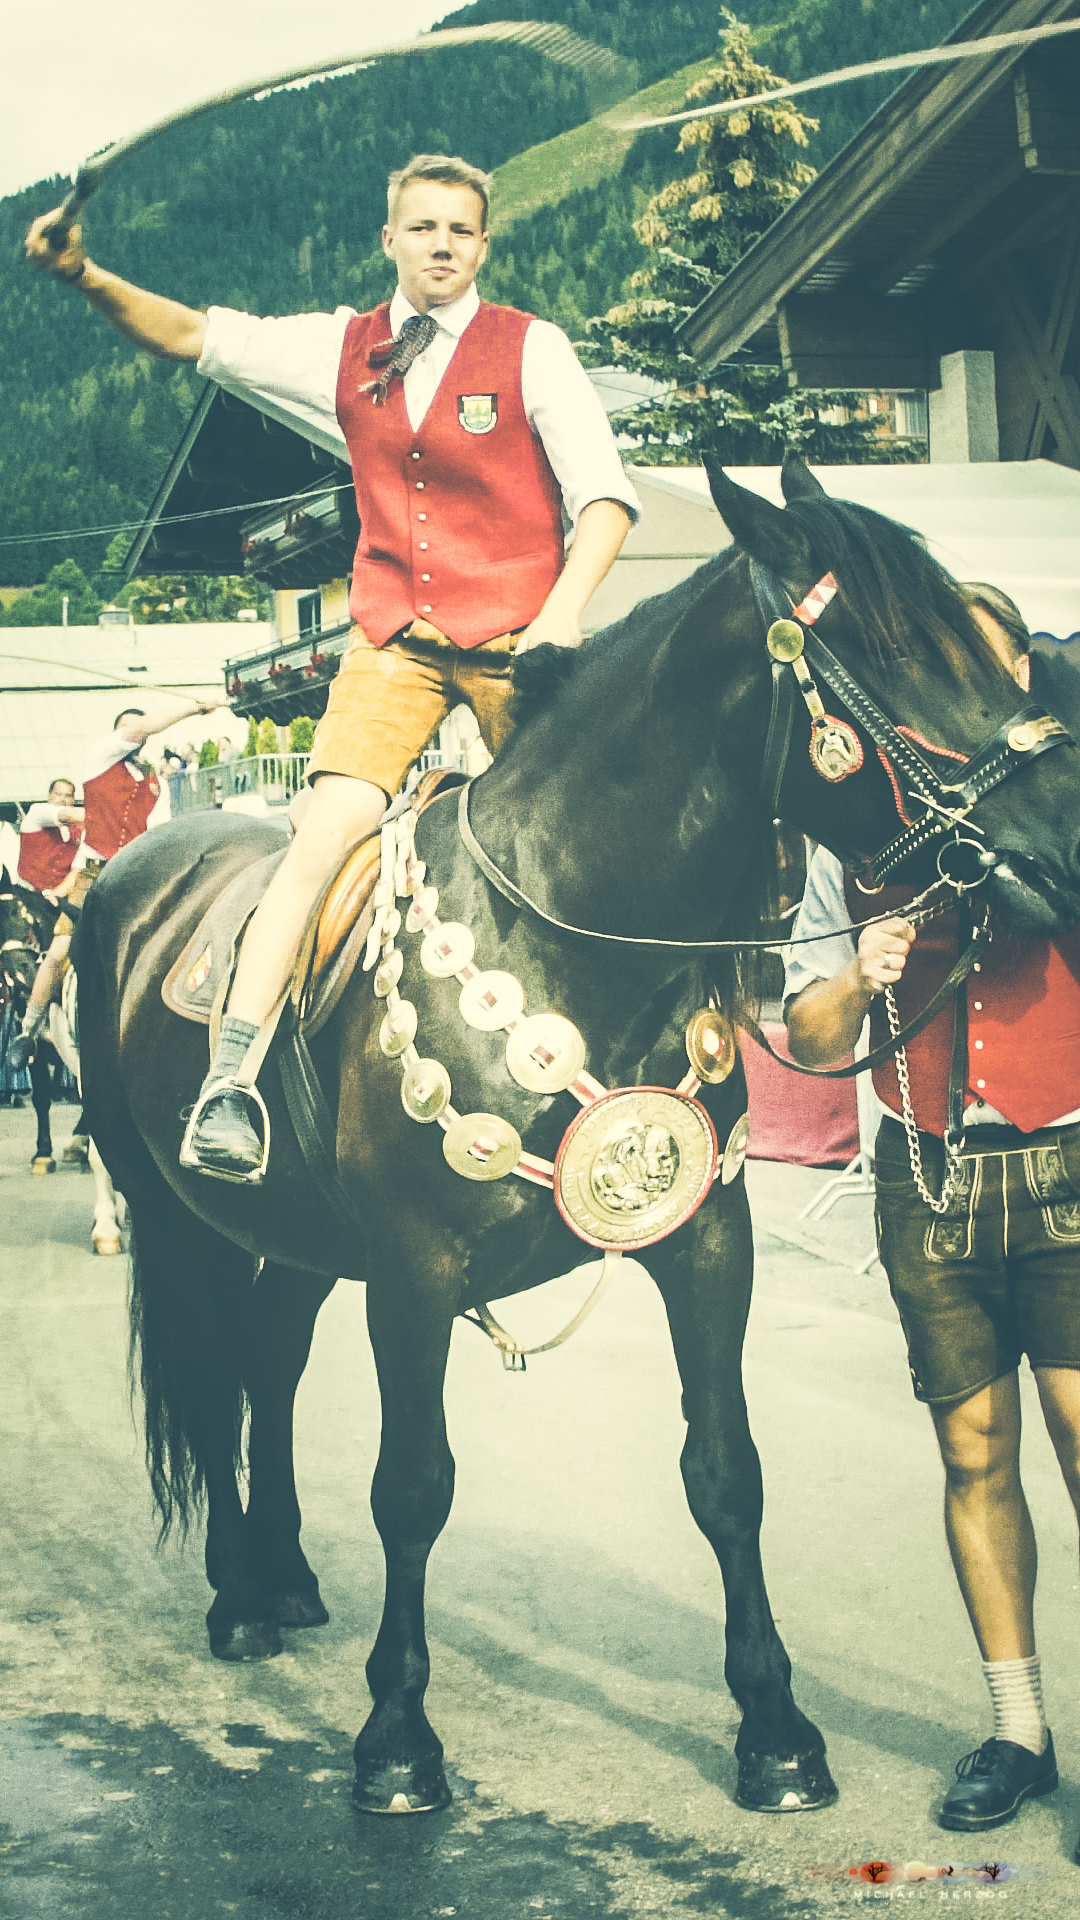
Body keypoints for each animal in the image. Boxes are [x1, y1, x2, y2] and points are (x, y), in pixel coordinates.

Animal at [71, 460, 1076, 1812]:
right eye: (900, 646)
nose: (1067, 838)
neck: (569, 936)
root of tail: (134, 870)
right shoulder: (411, 1271)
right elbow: (414, 1486)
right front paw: (398, 1740)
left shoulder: (707, 1242)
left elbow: (726, 1472)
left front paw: (777, 1731)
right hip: (180, 1218)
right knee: (219, 1368)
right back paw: (237, 1590)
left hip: (303, 1241)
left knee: (268, 1366)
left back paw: (281, 1575)